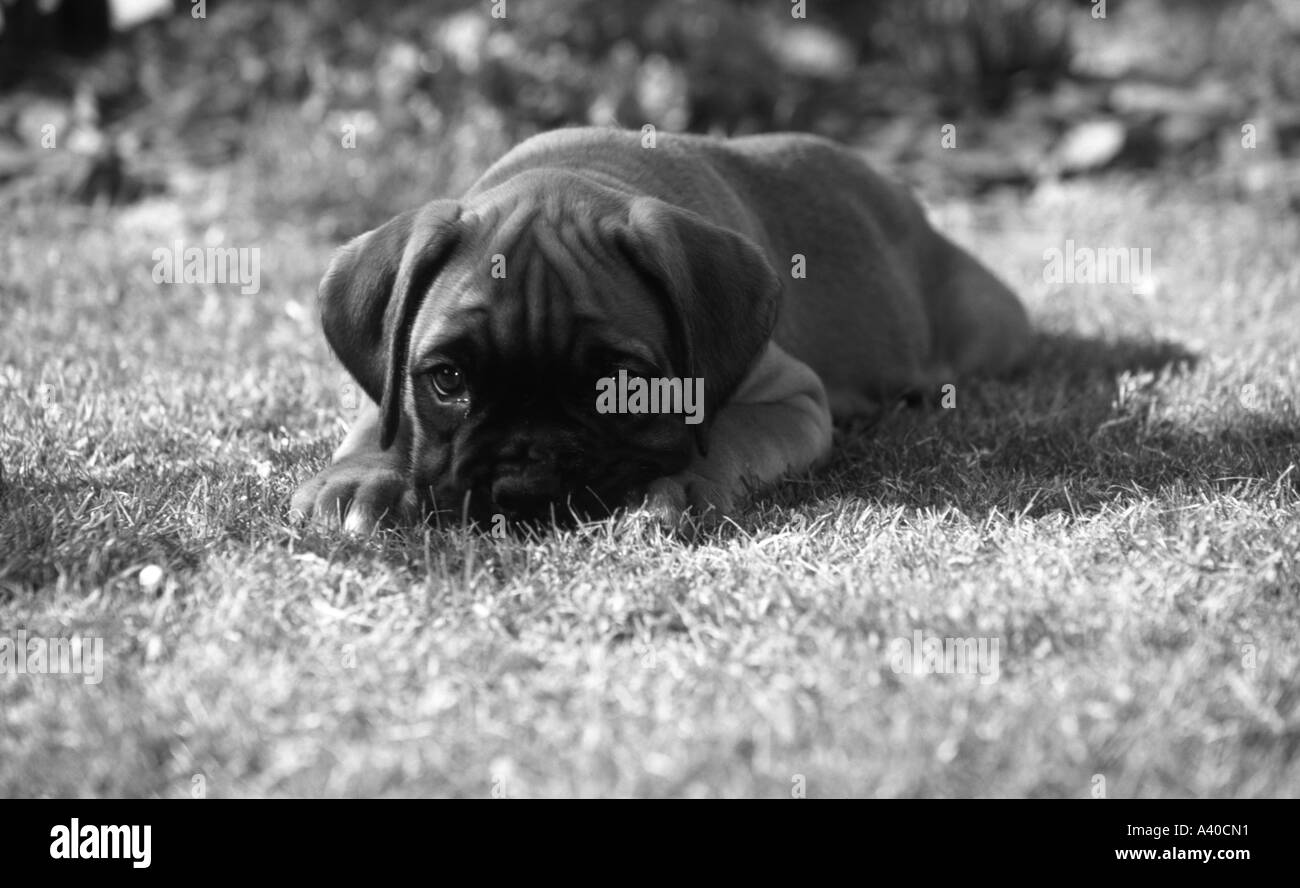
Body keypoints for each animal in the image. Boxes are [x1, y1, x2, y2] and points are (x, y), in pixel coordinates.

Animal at [289, 128, 1029, 530]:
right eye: (448, 380)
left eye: (622, 385)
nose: (523, 485)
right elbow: (382, 413)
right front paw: (360, 476)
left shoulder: (793, 396)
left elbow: (723, 432)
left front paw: (675, 486)